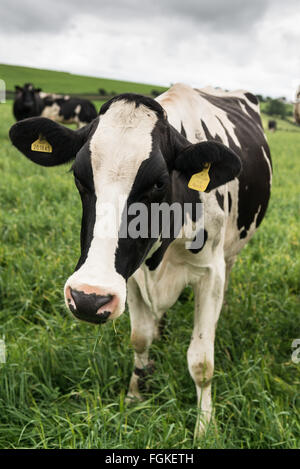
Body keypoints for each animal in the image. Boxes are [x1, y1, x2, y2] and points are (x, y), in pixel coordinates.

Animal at [8, 83, 272, 436]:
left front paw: (205, 426)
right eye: (78, 176)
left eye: (158, 182)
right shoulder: (130, 276)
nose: (88, 298)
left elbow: (201, 361)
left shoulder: (210, 273)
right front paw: (135, 394)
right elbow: (139, 338)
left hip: (231, 252)